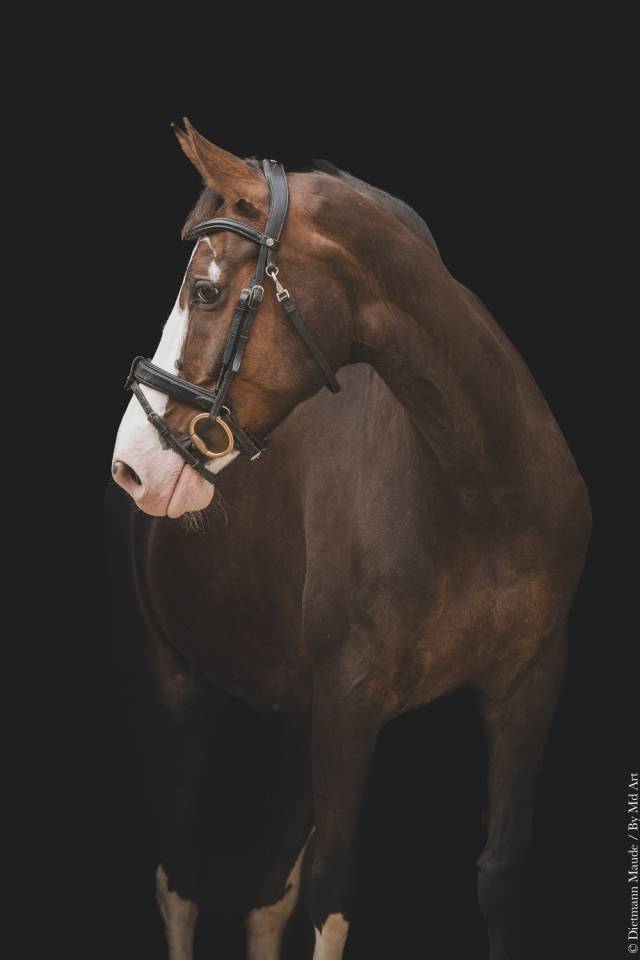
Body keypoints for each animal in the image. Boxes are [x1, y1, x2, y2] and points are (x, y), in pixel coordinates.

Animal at [107, 118, 591, 959]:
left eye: (206, 291)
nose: (133, 466)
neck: (482, 493)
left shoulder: (530, 681)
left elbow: (499, 872)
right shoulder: (350, 699)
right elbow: (331, 895)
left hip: (297, 718)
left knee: (265, 895)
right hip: (172, 689)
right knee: (180, 886)